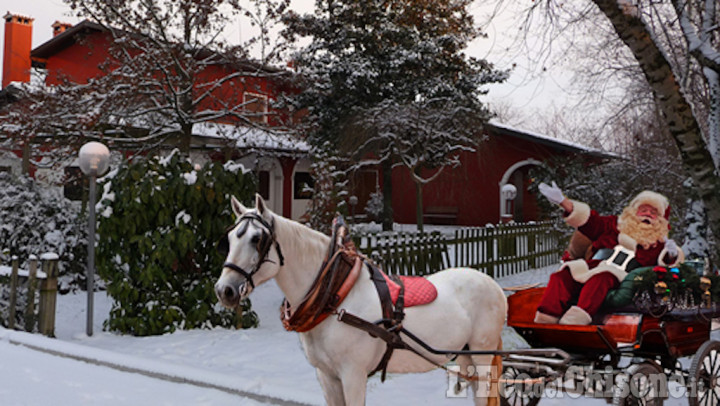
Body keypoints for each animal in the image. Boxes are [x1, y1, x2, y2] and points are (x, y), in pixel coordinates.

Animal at [214, 195, 506, 404]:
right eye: (229, 238)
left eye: (257, 239)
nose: (224, 289)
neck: (335, 297)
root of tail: (494, 286)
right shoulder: (327, 376)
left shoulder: (353, 375)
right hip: (465, 356)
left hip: (482, 357)